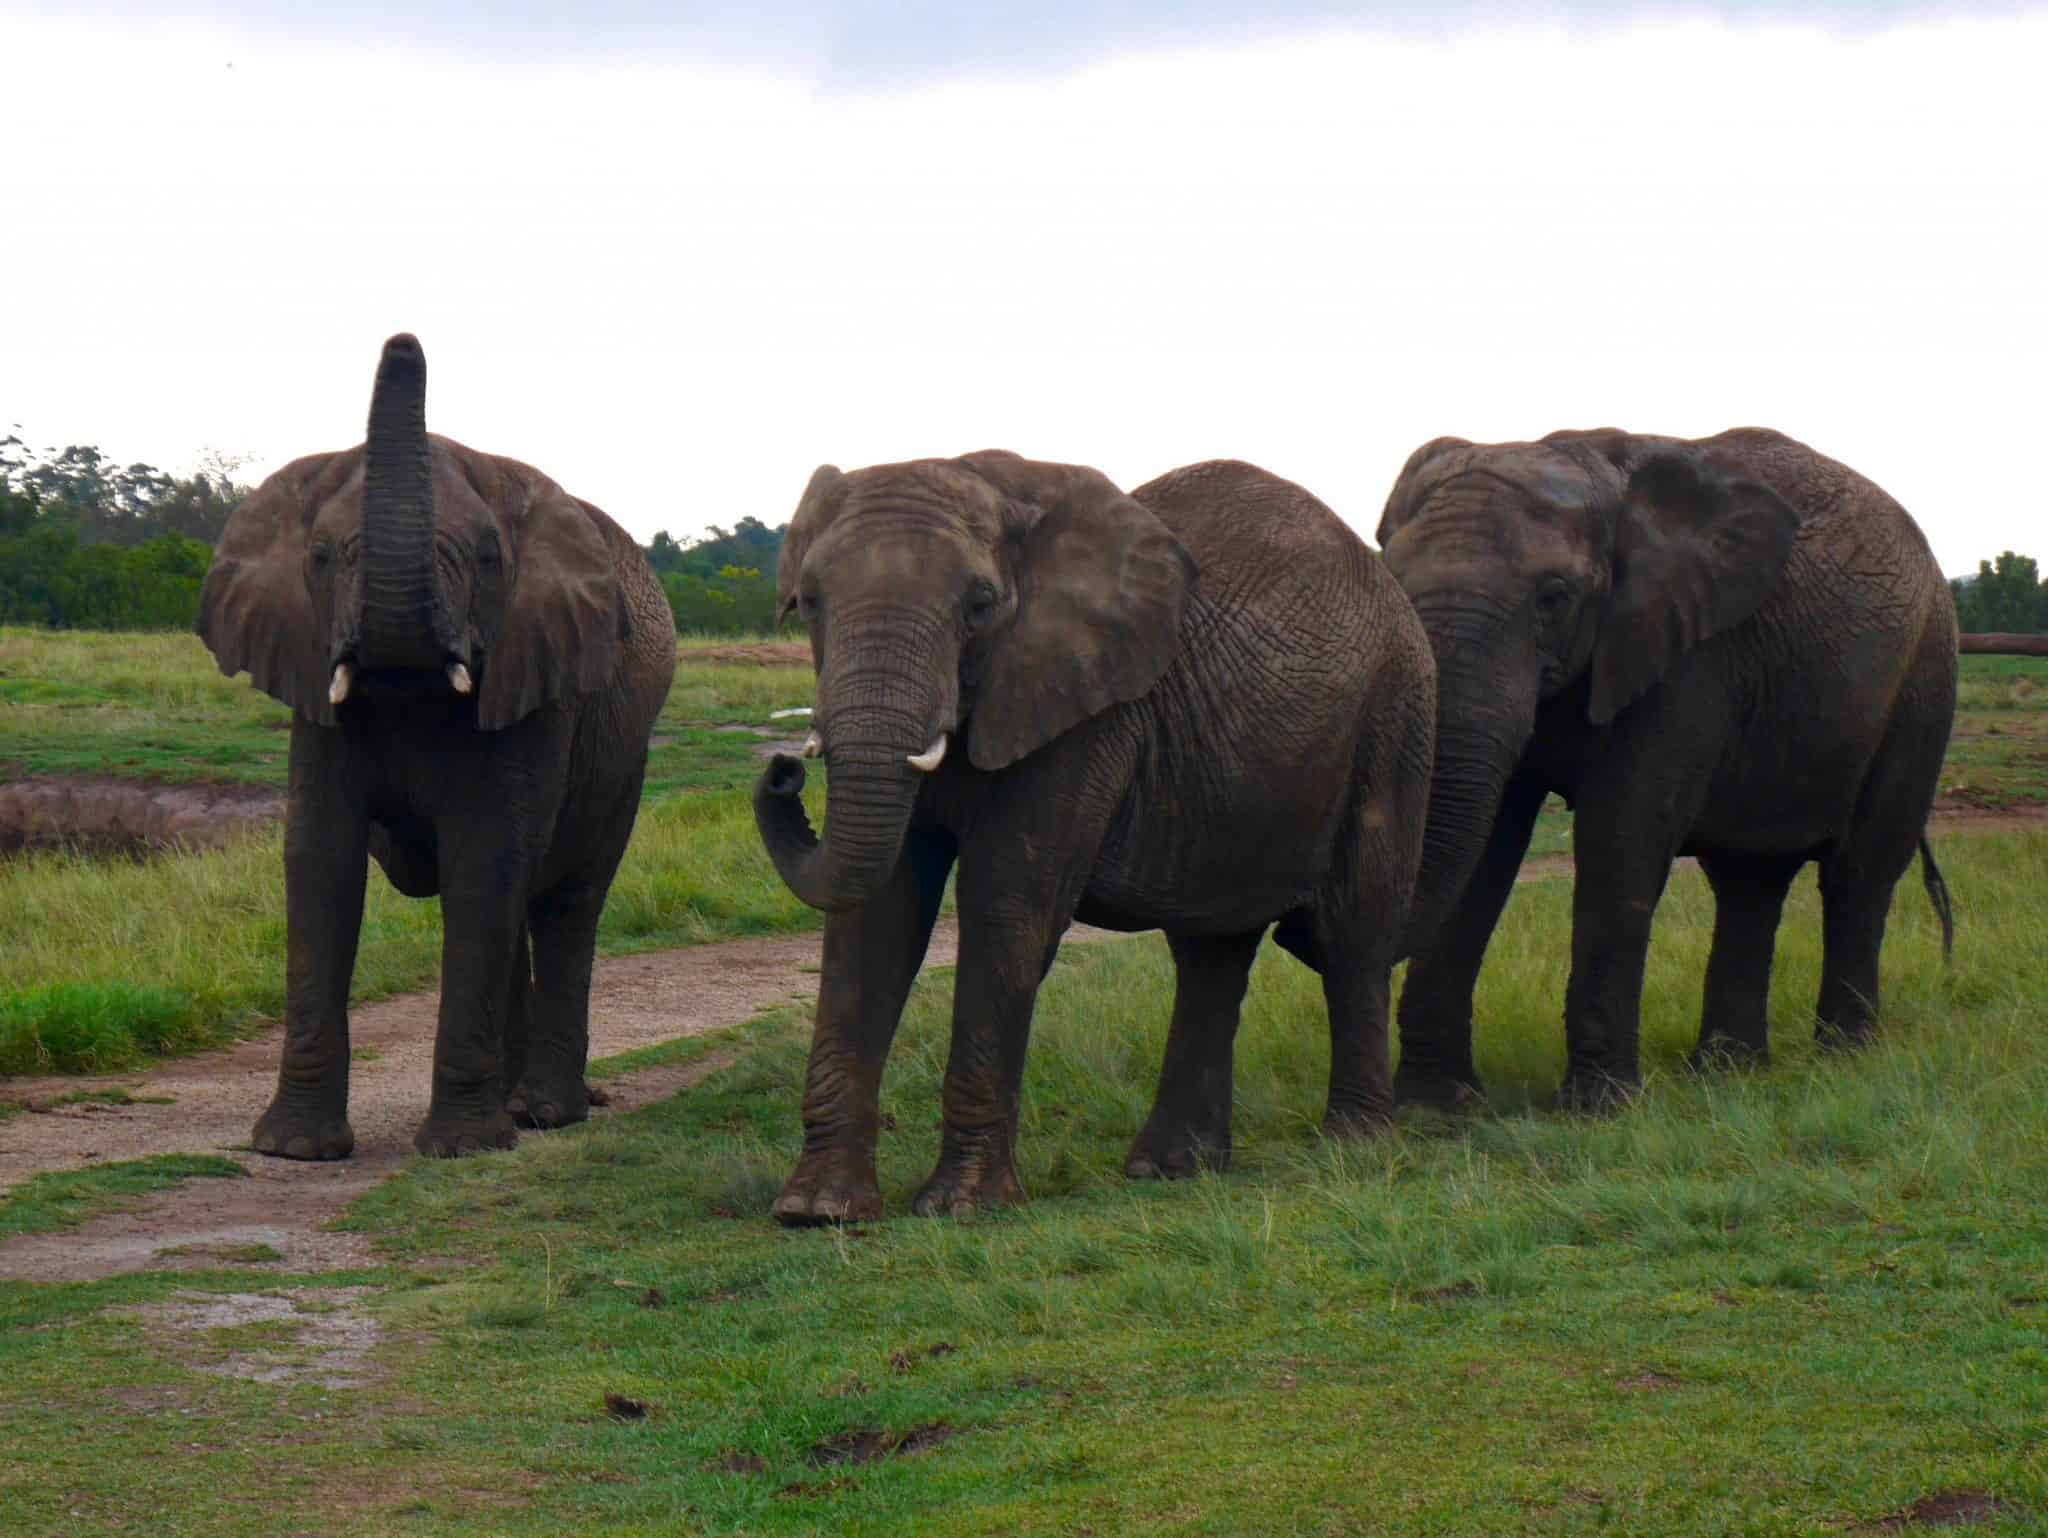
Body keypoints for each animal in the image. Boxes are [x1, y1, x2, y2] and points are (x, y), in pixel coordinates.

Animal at [197, 334, 676, 1158]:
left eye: (487, 558)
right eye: (320, 557)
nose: (404, 343)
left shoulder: (534, 680)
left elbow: (486, 856)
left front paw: (460, 1149)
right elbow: (320, 859)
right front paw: (294, 1149)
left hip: (623, 755)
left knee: (566, 901)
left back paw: (545, 1113)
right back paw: (516, 1106)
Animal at [751, 451, 1489, 1224]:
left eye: (980, 605)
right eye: (809, 603)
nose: (782, 770)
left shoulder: (1082, 713)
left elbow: (1006, 907)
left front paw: (962, 1209)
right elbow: (876, 918)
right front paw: (818, 1211)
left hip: (1395, 719)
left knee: (1353, 933)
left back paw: (1353, 1148)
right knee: (1211, 951)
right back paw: (1171, 1169)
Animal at [1375, 426, 1957, 1112]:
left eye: (1554, 599)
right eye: (1394, 581)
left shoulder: (1688, 660)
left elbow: (1620, 841)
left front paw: (1597, 1112)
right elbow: (1485, 847)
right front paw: (1435, 1109)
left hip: (1924, 679)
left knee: (1860, 872)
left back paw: (1841, 1059)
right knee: (1749, 881)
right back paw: (1730, 1074)